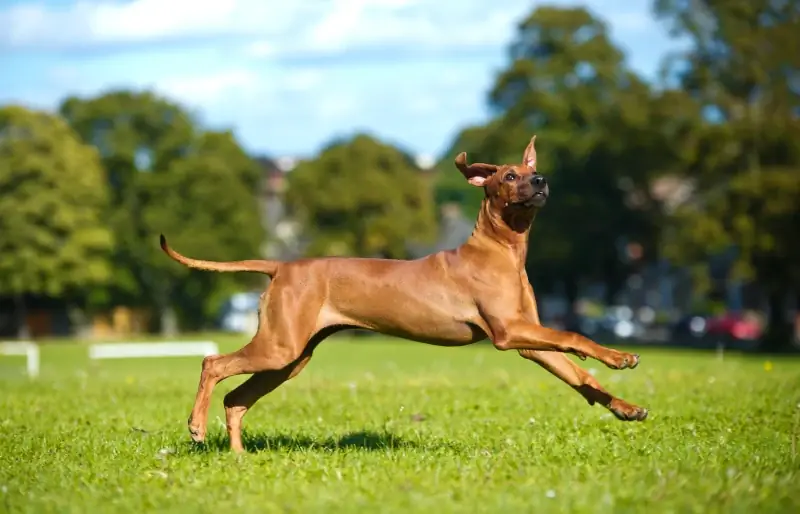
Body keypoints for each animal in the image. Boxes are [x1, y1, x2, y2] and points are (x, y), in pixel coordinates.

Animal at [159, 135, 648, 452]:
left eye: (530, 170)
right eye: (510, 176)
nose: (542, 180)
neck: (500, 250)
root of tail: (282, 265)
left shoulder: (528, 341)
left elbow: (582, 379)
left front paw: (625, 407)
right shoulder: (509, 331)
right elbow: (573, 336)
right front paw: (618, 356)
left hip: (290, 357)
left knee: (236, 398)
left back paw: (238, 457)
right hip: (279, 347)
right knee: (212, 363)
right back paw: (196, 427)